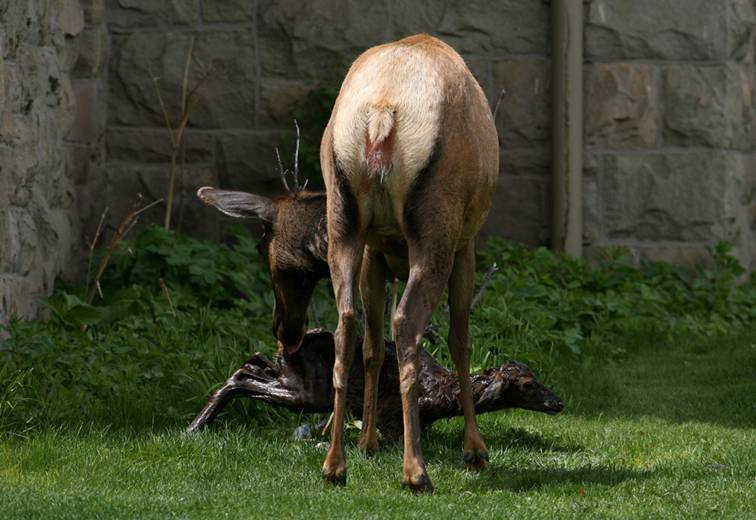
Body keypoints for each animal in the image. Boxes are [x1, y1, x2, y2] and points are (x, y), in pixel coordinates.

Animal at [185, 330, 560, 438]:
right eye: (528, 384)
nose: (559, 402)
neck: (443, 392)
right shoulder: (390, 413)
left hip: (292, 376)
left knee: (249, 364)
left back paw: (196, 424)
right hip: (309, 391)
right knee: (243, 379)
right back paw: (193, 427)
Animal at [318, 33, 496, 492]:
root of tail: (382, 114)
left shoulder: (375, 251)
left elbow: (371, 347)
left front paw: (367, 440)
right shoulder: (465, 245)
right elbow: (461, 340)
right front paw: (475, 449)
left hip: (342, 220)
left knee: (346, 325)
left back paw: (335, 463)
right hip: (437, 226)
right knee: (406, 325)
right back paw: (416, 470)